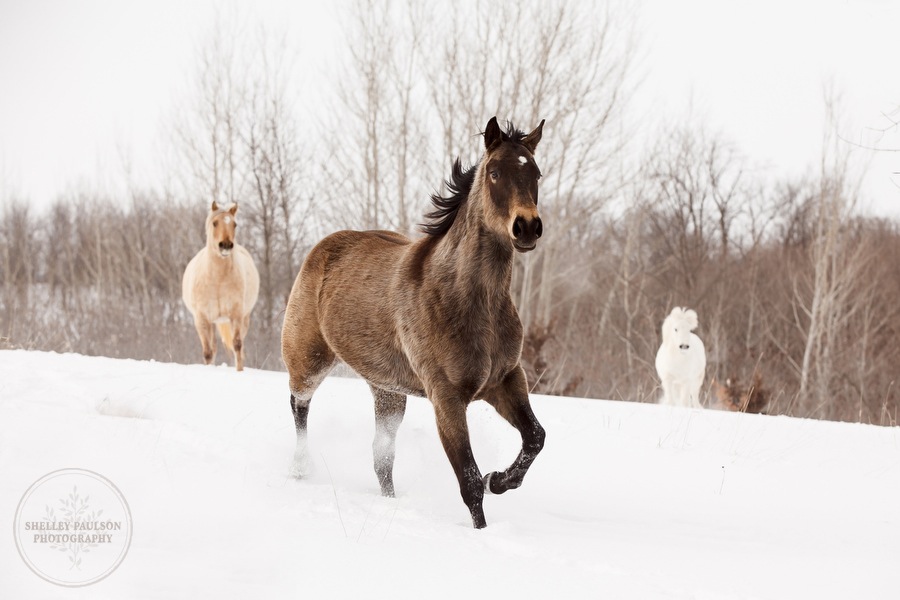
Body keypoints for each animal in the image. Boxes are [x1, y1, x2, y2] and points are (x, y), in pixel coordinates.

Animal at [182, 202, 260, 370]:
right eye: (215, 223)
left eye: (234, 224)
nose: (225, 245)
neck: (218, 280)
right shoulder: (202, 319)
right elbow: (208, 352)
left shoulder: (236, 315)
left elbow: (237, 345)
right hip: (212, 322)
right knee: (213, 348)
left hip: (243, 319)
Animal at [284, 115, 544, 528]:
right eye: (495, 172)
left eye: (535, 172)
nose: (528, 227)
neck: (473, 304)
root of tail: (323, 247)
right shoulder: (447, 397)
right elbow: (469, 481)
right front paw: (483, 523)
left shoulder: (504, 380)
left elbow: (535, 437)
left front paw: (499, 480)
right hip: (309, 360)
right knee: (299, 406)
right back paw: (299, 468)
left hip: (387, 392)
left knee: (382, 459)